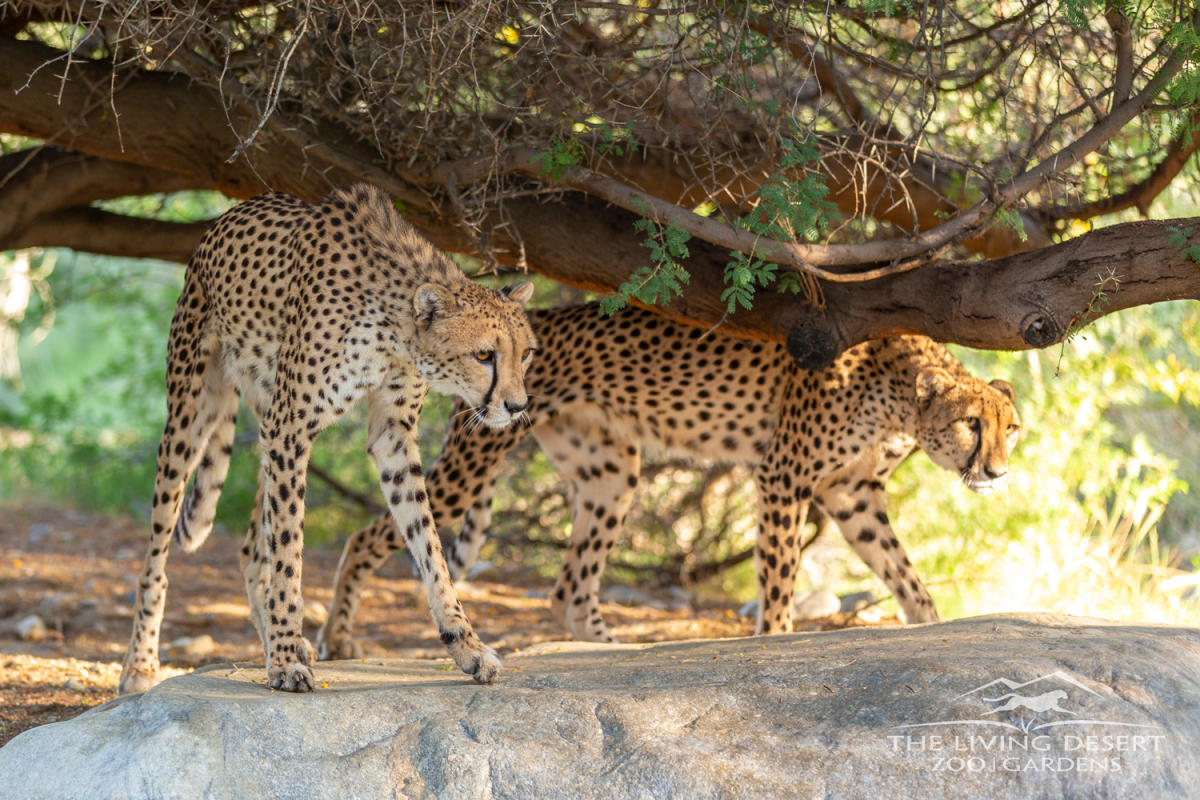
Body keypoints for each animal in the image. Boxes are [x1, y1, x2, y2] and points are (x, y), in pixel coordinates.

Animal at [118, 183, 540, 695]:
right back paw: (142, 666)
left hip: (264, 423)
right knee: (158, 558)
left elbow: (429, 545)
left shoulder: (391, 436)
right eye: (483, 355)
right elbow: (289, 555)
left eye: (527, 353)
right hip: (191, 415)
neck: (395, 328)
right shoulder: (291, 426)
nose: (517, 406)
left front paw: (467, 646)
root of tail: (221, 221)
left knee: (251, 548)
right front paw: (282, 661)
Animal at [314, 303, 1017, 652]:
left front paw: (930, 625)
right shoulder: (784, 476)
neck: (901, 394)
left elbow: (904, 572)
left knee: (569, 588)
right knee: (367, 536)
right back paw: (338, 637)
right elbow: (779, 577)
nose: (998, 471)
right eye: (970, 425)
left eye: (1010, 428)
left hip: (611, 475)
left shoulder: (852, 494)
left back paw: (613, 650)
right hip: (474, 462)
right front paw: (775, 641)